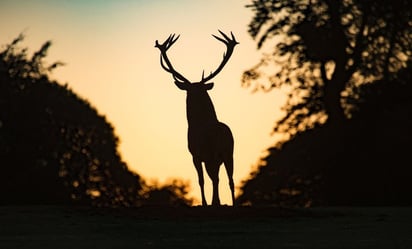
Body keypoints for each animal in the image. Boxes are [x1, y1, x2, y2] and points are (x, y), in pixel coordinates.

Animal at [154, 30, 238, 206]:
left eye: (189, 91)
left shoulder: (197, 154)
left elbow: (204, 180)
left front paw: (208, 202)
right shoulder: (202, 156)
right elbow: (206, 179)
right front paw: (210, 202)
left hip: (218, 153)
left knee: (219, 178)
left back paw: (219, 202)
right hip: (226, 153)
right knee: (227, 179)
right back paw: (229, 202)